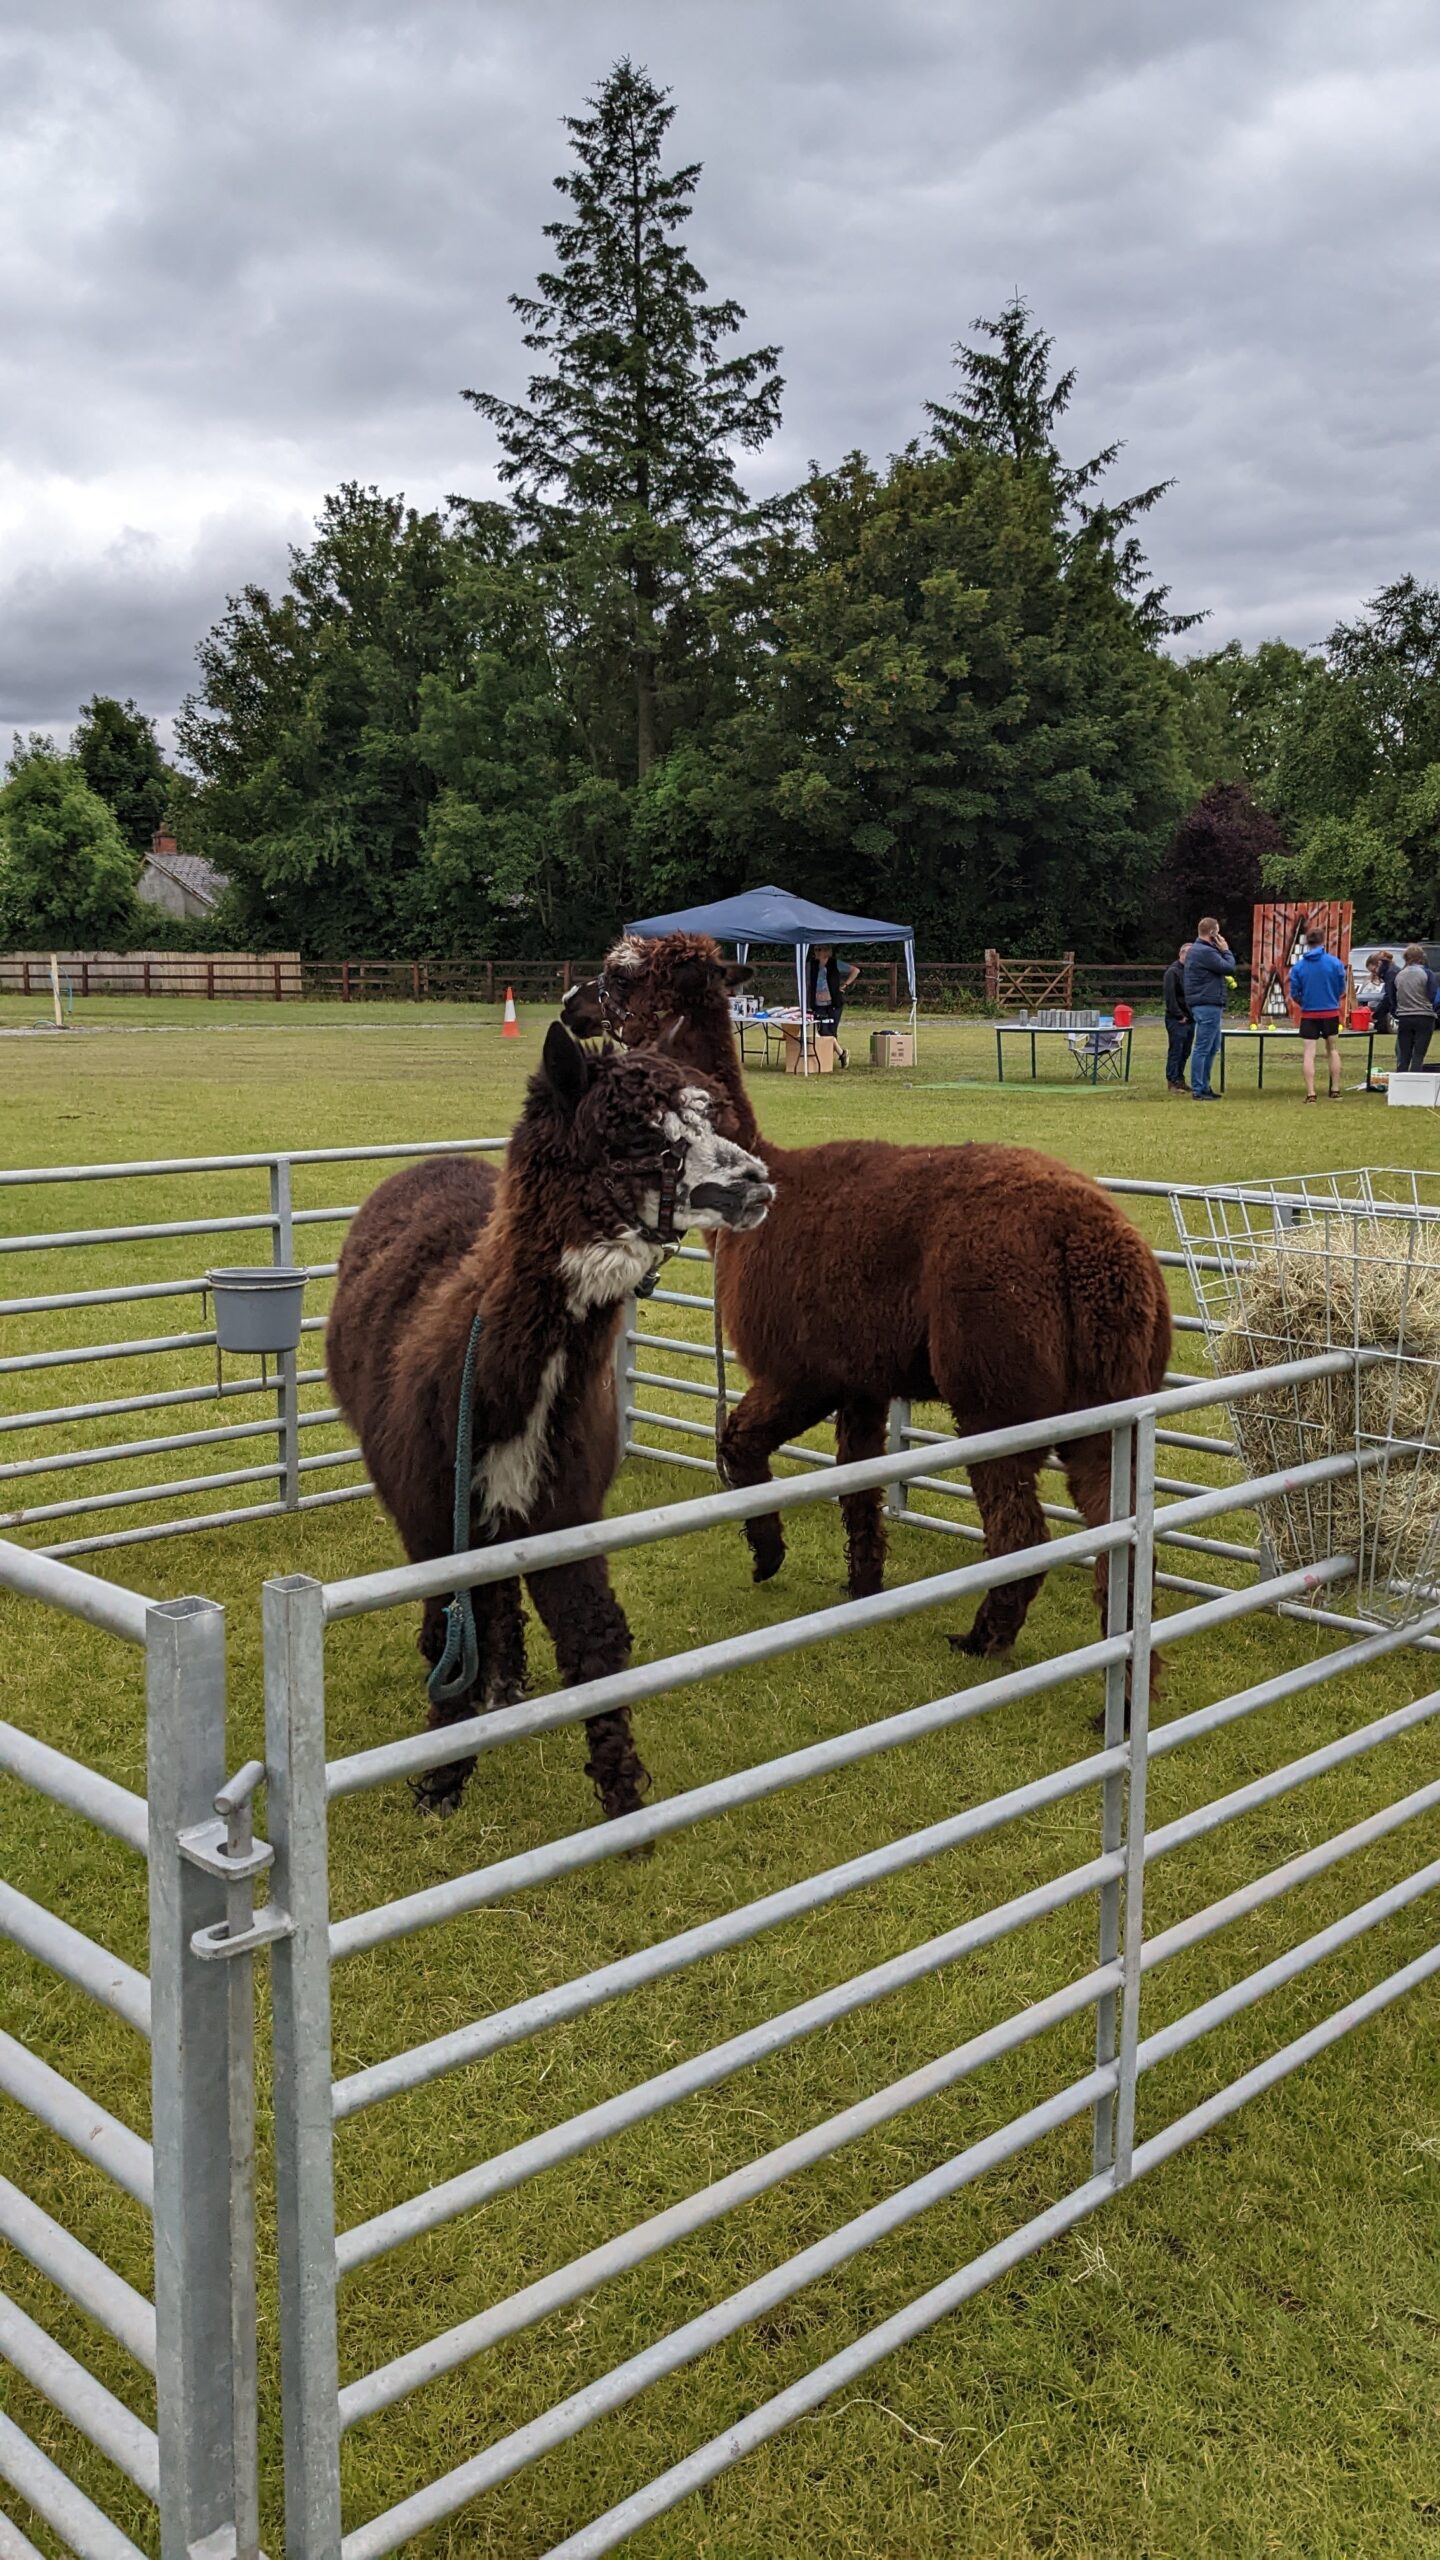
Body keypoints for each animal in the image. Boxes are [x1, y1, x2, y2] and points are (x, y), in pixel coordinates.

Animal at [328, 1021, 773, 1817]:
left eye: (708, 1119)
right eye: (637, 1136)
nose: (754, 1180)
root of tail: (430, 1164)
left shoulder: (566, 1508)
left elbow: (596, 1641)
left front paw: (624, 1803)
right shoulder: (435, 1511)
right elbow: (456, 1624)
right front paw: (441, 1781)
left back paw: (507, 1685)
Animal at [566, 936, 1171, 1654]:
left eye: (621, 974)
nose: (570, 1004)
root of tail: (1088, 1243)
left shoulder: (802, 1368)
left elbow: (738, 1445)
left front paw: (767, 1554)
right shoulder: (862, 1379)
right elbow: (857, 1486)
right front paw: (862, 1586)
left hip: (997, 1387)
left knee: (1021, 1531)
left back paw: (982, 1640)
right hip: (1109, 1390)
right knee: (1121, 1528)